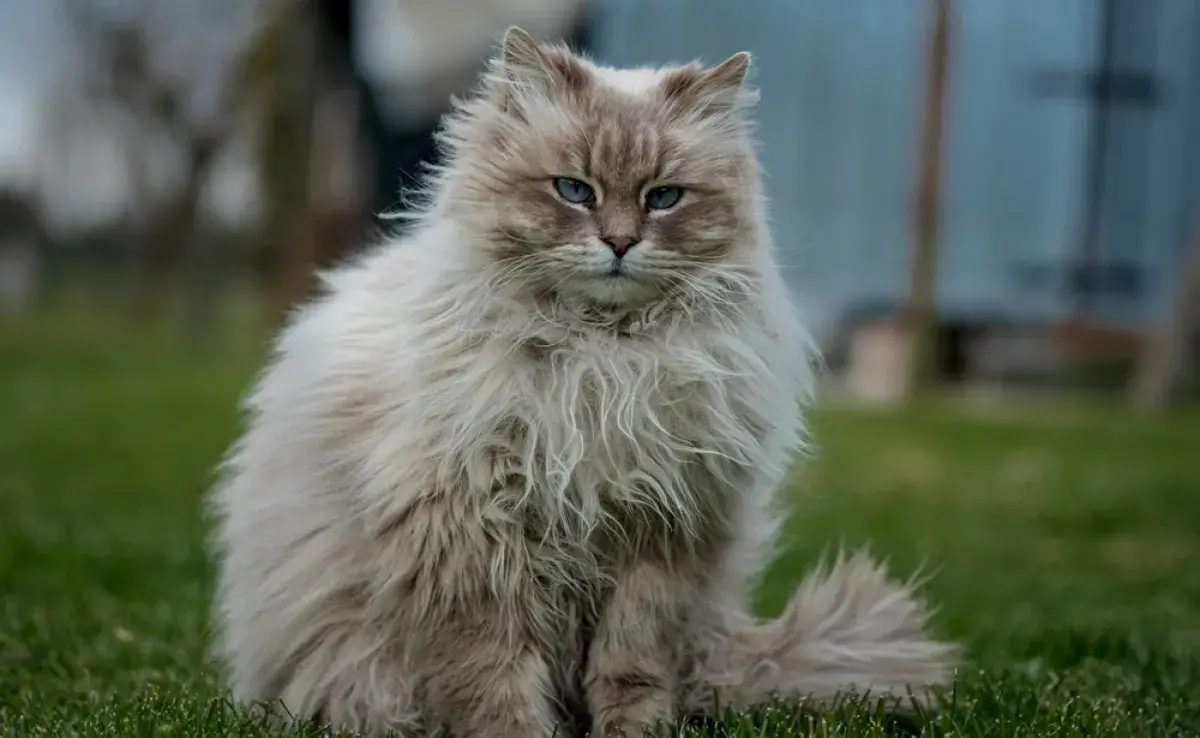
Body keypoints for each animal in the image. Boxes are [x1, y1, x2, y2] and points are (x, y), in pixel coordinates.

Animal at [208, 25, 955, 734]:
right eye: (574, 190)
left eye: (663, 198)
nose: (620, 243)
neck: (603, 363)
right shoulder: (471, 538)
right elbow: (493, 677)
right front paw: (516, 735)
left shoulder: (661, 534)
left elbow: (631, 665)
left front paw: (635, 732)